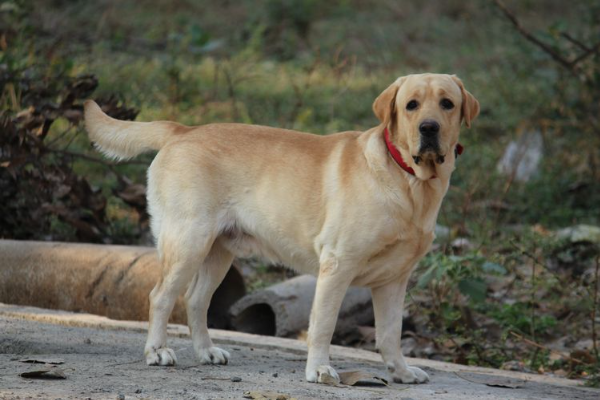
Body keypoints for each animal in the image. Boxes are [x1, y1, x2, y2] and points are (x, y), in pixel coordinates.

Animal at [83, 72, 478, 384]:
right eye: (411, 105)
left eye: (446, 104)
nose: (429, 128)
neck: (410, 181)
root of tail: (182, 130)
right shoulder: (338, 267)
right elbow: (323, 326)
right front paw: (319, 370)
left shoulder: (394, 280)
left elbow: (390, 334)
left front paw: (401, 372)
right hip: (187, 243)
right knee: (160, 297)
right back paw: (157, 352)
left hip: (218, 252)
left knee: (195, 300)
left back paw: (207, 351)